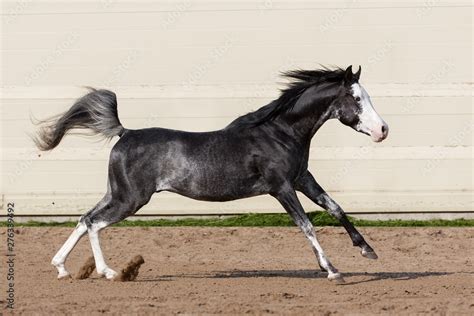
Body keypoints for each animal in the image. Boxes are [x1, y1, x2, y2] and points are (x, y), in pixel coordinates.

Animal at [34, 65, 388, 282]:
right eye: (356, 98)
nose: (382, 130)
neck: (280, 133)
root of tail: (126, 133)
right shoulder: (282, 187)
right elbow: (307, 226)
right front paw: (332, 270)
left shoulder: (303, 179)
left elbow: (336, 208)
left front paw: (368, 250)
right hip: (131, 199)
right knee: (94, 223)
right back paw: (108, 272)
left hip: (116, 194)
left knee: (84, 218)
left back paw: (61, 269)